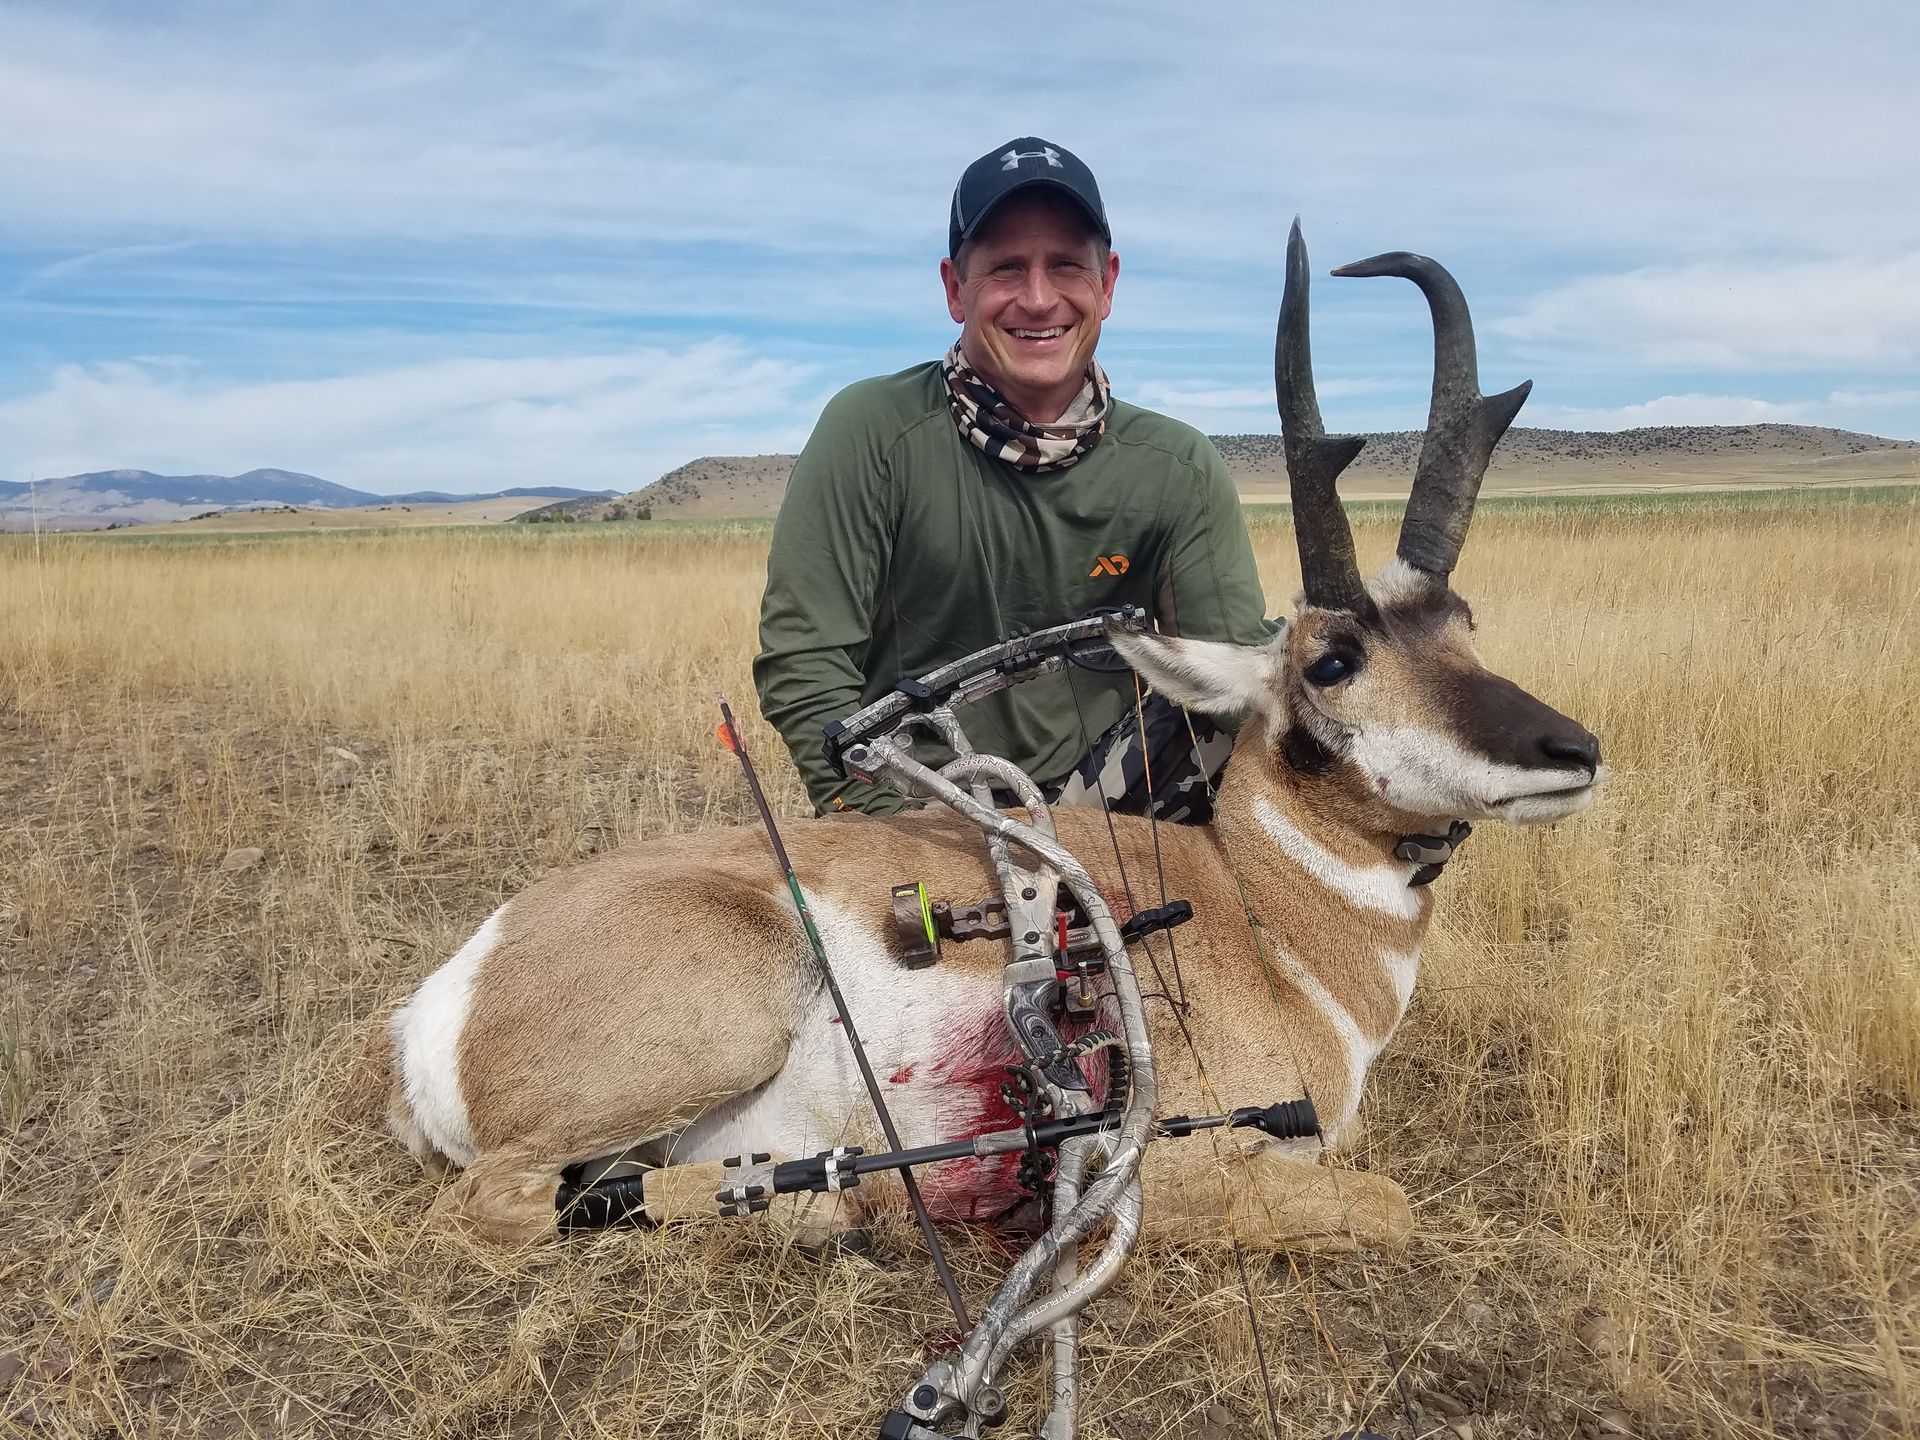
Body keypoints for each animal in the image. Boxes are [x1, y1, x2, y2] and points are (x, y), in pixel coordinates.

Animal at [368, 223, 1602, 1254]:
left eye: (1464, 623)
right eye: (1332, 659)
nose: (1572, 751)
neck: (1258, 911)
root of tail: (446, 997)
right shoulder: (1170, 1162)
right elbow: (1386, 1204)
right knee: (511, 1208)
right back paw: (846, 1203)